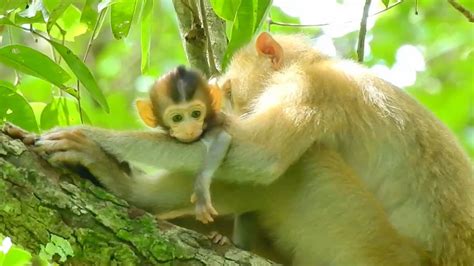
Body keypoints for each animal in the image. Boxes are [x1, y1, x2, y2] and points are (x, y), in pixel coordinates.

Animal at [135, 66, 231, 224]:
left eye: (196, 114)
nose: (189, 128)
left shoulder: (218, 122)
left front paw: (201, 189)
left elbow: (223, 138)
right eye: (177, 118)